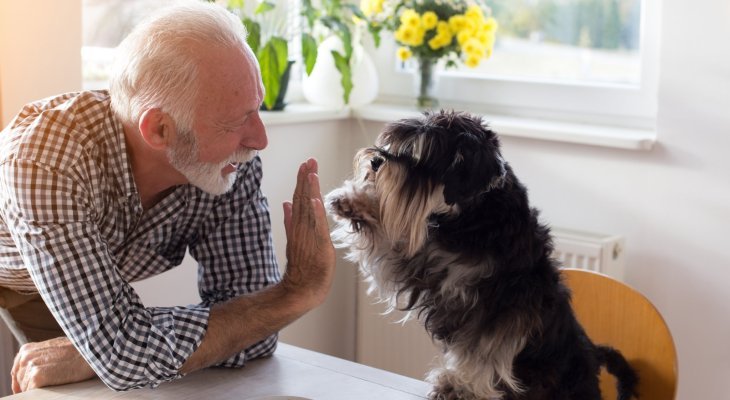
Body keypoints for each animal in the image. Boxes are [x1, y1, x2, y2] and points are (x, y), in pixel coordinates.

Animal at [324, 110, 636, 400]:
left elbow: (482, 352)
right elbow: (389, 241)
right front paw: (353, 201)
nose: (376, 161)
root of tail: (593, 357)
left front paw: (460, 387)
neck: (473, 218)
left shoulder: (500, 308)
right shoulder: (422, 264)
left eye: (423, 156)